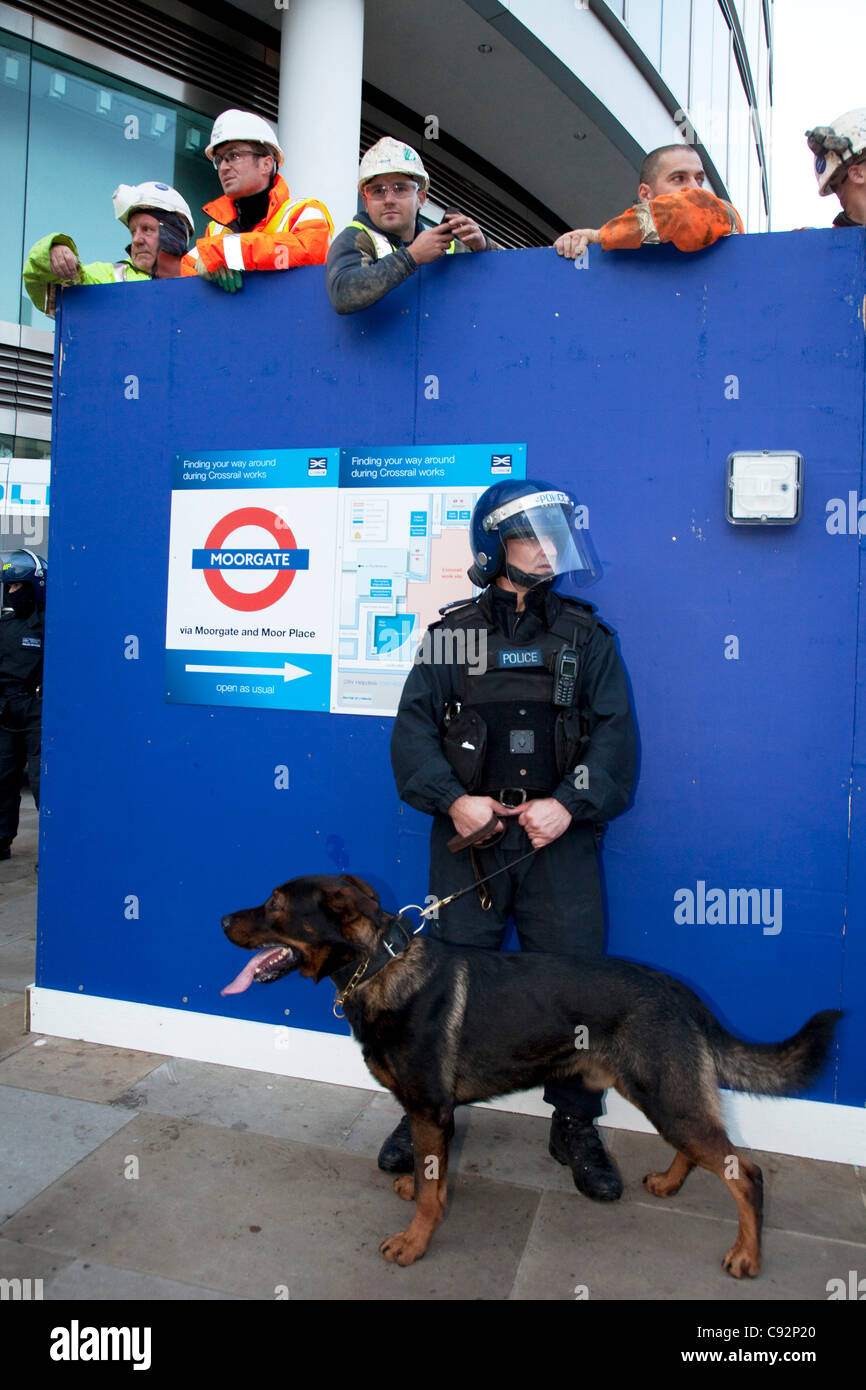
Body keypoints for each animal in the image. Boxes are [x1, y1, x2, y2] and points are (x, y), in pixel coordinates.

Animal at [219, 872, 845, 1273]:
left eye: (273, 904)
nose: (222, 918)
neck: (377, 966)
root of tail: (680, 991)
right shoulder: (431, 1114)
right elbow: (430, 1174)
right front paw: (425, 1194)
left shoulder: (430, 1109)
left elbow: (430, 1194)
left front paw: (415, 1243)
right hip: (661, 1094)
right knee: (699, 1150)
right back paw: (669, 1183)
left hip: (665, 1096)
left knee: (748, 1174)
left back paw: (748, 1256)